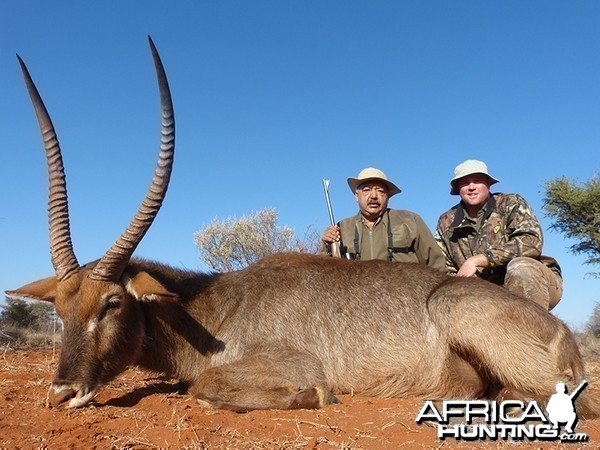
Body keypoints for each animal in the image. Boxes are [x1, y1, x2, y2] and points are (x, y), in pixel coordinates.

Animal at [7, 37, 596, 414]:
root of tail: (563, 335)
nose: (62, 394)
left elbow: (204, 387)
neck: (212, 305)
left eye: (112, 303)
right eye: (60, 308)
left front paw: (311, 398)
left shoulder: (291, 365)